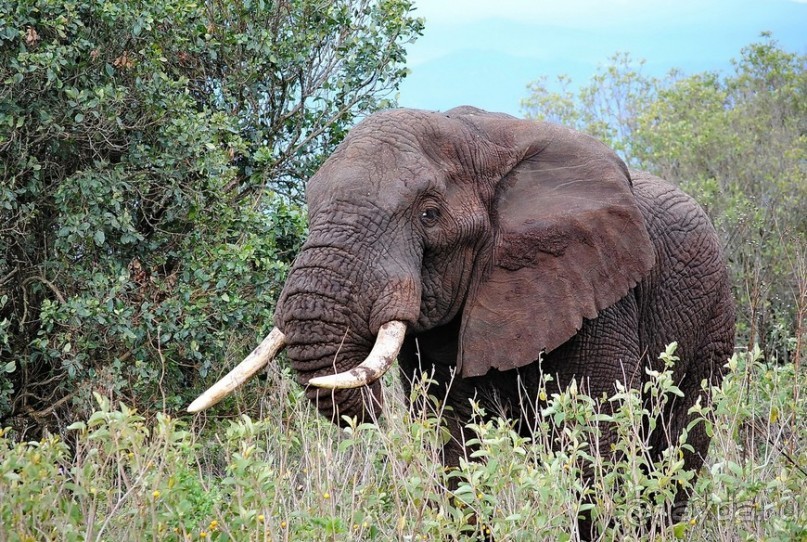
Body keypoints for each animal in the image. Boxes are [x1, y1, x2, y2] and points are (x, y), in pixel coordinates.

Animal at [191, 105, 740, 536]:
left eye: (429, 215)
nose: (370, 410)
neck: (482, 143)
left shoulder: (603, 293)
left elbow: (596, 443)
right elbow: (454, 450)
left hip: (713, 321)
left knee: (680, 445)